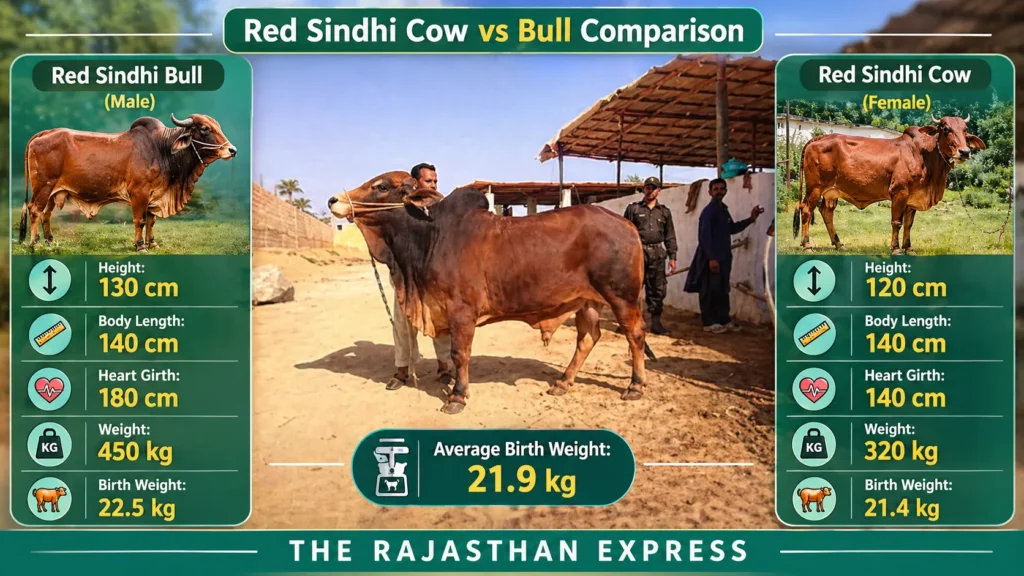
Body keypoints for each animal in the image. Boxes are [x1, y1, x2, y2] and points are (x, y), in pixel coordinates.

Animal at [20, 113, 237, 250]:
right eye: (204, 128)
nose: (232, 150)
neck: (162, 149)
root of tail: (45, 132)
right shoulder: (139, 192)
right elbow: (140, 220)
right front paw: (140, 246)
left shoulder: (153, 193)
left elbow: (151, 220)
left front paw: (153, 243)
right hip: (43, 187)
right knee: (35, 210)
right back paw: (35, 243)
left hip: (53, 192)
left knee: (46, 214)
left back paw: (49, 241)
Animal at [328, 171, 651, 415]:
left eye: (382, 186)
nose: (334, 200)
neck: (430, 236)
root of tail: (627, 223)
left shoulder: (461, 311)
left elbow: (459, 354)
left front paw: (457, 396)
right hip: (586, 301)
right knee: (588, 338)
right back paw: (563, 382)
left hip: (621, 297)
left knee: (635, 334)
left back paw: (635, 386)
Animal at [793, 114, 986, 254]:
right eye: (945, 129)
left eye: (965, 130)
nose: (964, 151)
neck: (925, 157)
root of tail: (817, 138)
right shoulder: (899, 193)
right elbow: (897, 222)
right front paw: (896, 249)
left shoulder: (912, 199)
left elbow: (908, 224)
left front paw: (909, 248)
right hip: (815, 188)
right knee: (806, 211)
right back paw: (807, 245)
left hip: (831, 192)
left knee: (826, 212)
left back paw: (839, 244)